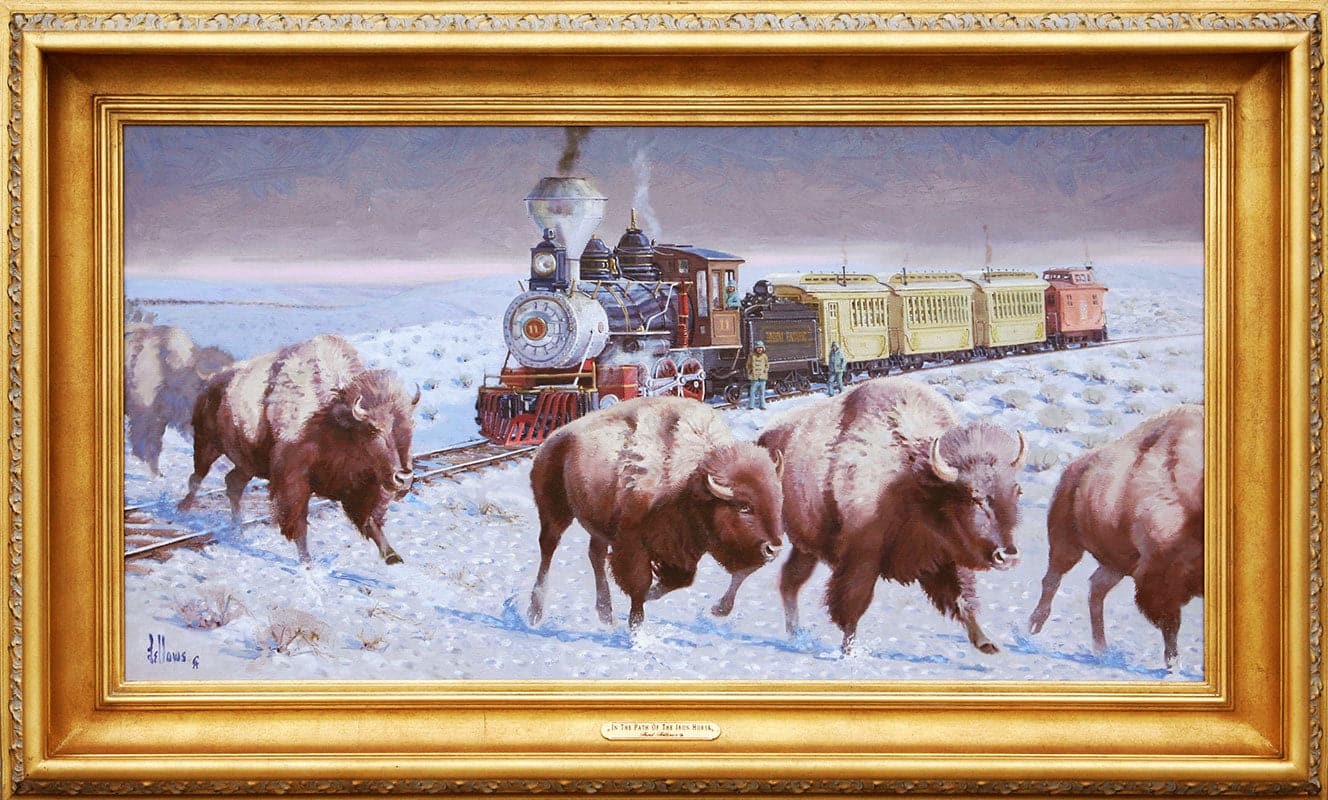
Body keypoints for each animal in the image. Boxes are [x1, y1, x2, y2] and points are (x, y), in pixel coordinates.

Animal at [178, 333, 419, 564]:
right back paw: (183, 509)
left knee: (233, 483)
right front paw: (306, 561)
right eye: (373, 428)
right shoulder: (293, 482)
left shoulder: (362, 486)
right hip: (207, 446)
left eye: (410, 425)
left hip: (248, 464)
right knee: (197, 477)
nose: (404, 477)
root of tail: (211, 384)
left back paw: (238, 528)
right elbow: (298, 521)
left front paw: (392, 556)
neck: (332, 419)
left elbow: (370, 520)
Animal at [526, 395, 785, 630]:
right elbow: (639, 583)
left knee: (595, 555)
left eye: (778, 500)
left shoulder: (681, 547)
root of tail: (551, 440)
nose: (773, 549)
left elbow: (681, 579)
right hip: (554, 511)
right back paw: (535, 614)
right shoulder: (632, 543)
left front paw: (652, 596)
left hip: (598, 523)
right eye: (744, 506)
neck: (689, 482)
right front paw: (637, 630)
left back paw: (606, 615)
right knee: (548, 548)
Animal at [756, 377, 1026, 655]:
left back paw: (795, 635)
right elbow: (853, 603)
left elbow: (962, 598)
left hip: (807, 547)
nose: (1007, 556)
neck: (914, 481)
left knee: (790, 579)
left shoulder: (942, 557)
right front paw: (848, 651)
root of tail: (766, 437)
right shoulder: (862, 557)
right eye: (974, 497)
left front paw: (985, 643)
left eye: (1017, 491)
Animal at [1028, 404, 1203, 669]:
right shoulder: (1161, 578)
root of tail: (1074, 468)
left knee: (1095, 588)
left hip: (1116, 565)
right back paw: (1035, 626)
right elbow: (1170, 622)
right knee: (1053, 579)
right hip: (1067, 542)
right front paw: (1172, 663)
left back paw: (1101, 649)